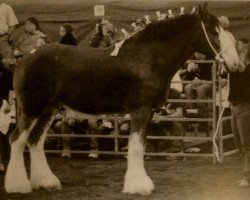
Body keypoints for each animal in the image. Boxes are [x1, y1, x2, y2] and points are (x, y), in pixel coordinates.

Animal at [3, 4, 238, 195]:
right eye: (214, 32)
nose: (235, 63)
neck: (147, 58)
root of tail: (25, 58)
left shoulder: (149, 112)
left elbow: (140, 145)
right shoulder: (140, 110)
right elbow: (135, 147)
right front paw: (138, 186)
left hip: (48, 109)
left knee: (35, 141)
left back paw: (46, 182)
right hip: (32, 107)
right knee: (17, 139)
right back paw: (18, 185)